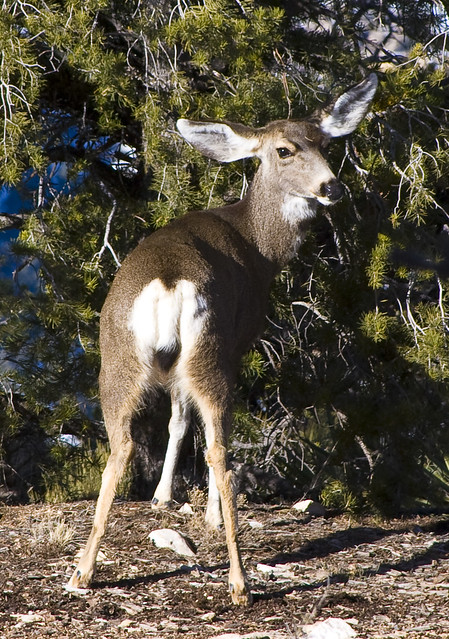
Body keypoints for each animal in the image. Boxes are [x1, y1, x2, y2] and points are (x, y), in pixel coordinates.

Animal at [65, 74, 374, 604]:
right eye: (285, 150)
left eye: (326, 143)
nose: (331, 187)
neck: (259, 246)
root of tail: (168, 281)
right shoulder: (238, 338)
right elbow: (196, 429)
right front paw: (203, 512)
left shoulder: (169, 364)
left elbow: (175, 421)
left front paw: (162, 498)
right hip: (208, 349)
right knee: (218, 448)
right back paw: (239, 580)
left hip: (118, 356)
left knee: (121, 444)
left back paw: (83, 571)